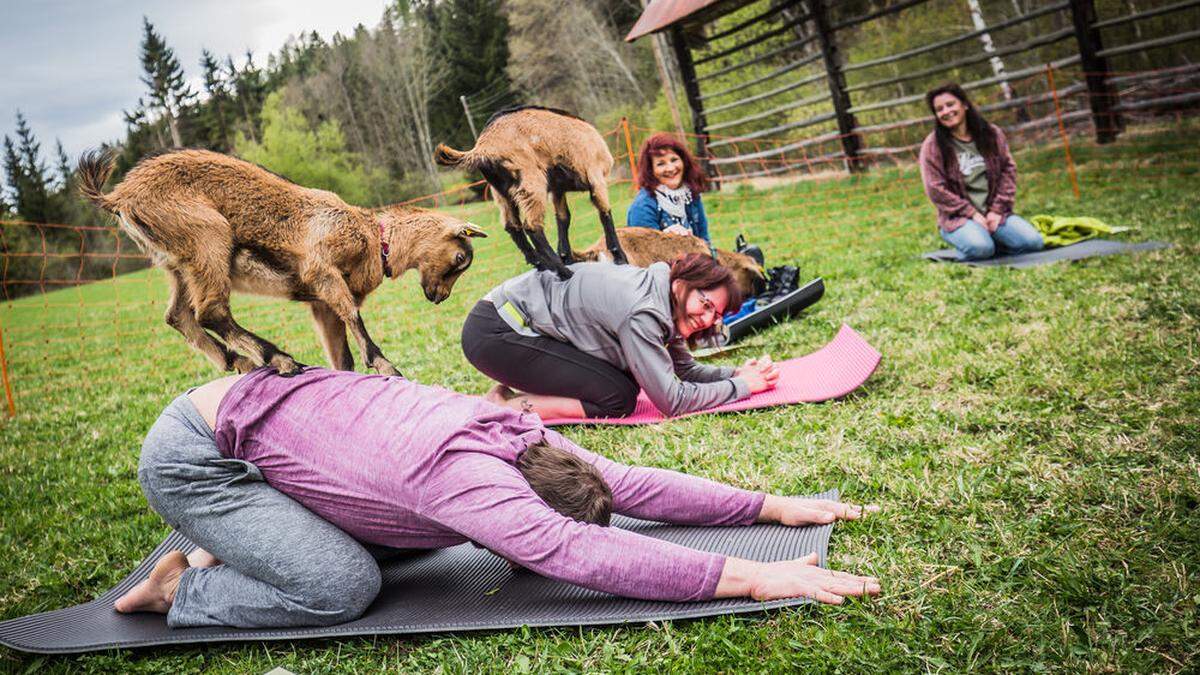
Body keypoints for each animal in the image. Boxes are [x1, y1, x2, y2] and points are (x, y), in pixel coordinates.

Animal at [78, 147, 487, 374]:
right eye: (460, 258)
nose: (439, 297)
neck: (375, 237)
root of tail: (119, 196)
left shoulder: (321, 305)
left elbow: (341, 355)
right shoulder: (322, 271)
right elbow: (355, 319)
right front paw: (387, 366)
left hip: (177, 263)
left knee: (179, 315)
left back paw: (239, 361)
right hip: (208, 238)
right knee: (210, 310)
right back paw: (279, 359)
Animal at [434, 103, 628, 277]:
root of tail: (483, 146)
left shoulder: (558, 189)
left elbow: (563, 218)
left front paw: (566, 256)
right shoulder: (596, 176)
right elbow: (605, 213)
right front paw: (620, 258)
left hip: (502, 193)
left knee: (512, 226)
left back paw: (541, 263)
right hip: (531, 182)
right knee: (532, 226)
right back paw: (562, 271)